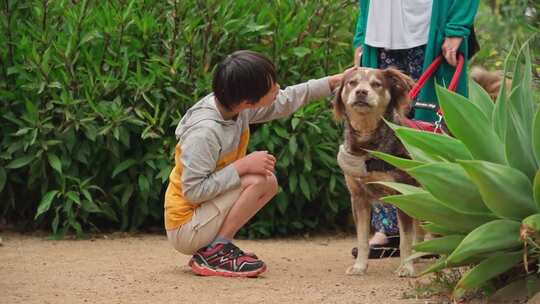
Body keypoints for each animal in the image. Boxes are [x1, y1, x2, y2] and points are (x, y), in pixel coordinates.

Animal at [332, 67, 424, 276]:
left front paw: (406, 268)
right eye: (352, 83)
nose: (361, 92)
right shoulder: (358, 197)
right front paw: (359, 267)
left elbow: (405, 239)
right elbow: (362, 239)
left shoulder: (403, 193)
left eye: (376, 84)